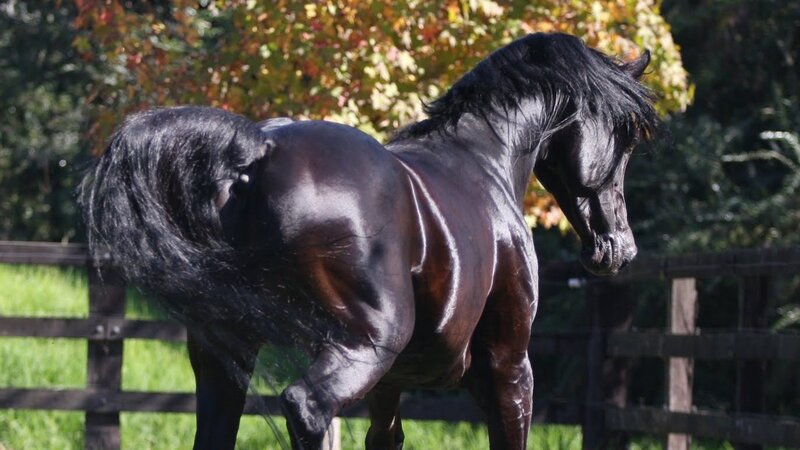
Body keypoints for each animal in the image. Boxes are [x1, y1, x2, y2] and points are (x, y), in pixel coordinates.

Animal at [80, 32, 658, 450]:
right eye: (627, 135)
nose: (620, 248)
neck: (484, 159)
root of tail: (260, 149)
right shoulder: (509, 365)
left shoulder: (391, 385)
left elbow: (386, 439)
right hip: (363, 343)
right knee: (307, 409)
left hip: (229, 356)